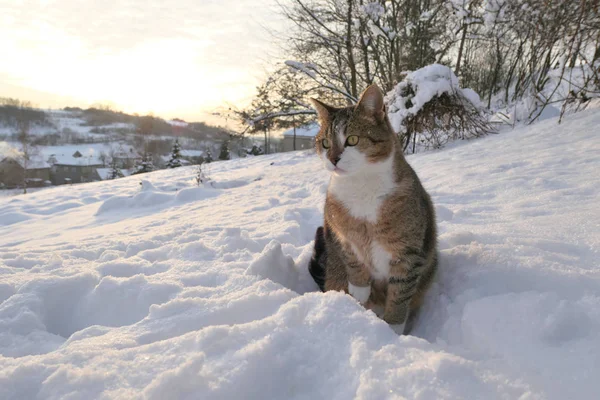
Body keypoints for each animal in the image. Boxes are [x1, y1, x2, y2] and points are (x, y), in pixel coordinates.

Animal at [310, 85, 436, 334]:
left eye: (352, 139)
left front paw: (393, 331)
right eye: (325, 143)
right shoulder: (340, 231)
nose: (333, 159)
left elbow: (399, 295)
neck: (361, 186)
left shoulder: (407, 253)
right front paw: (359, 292)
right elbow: (352, 257)